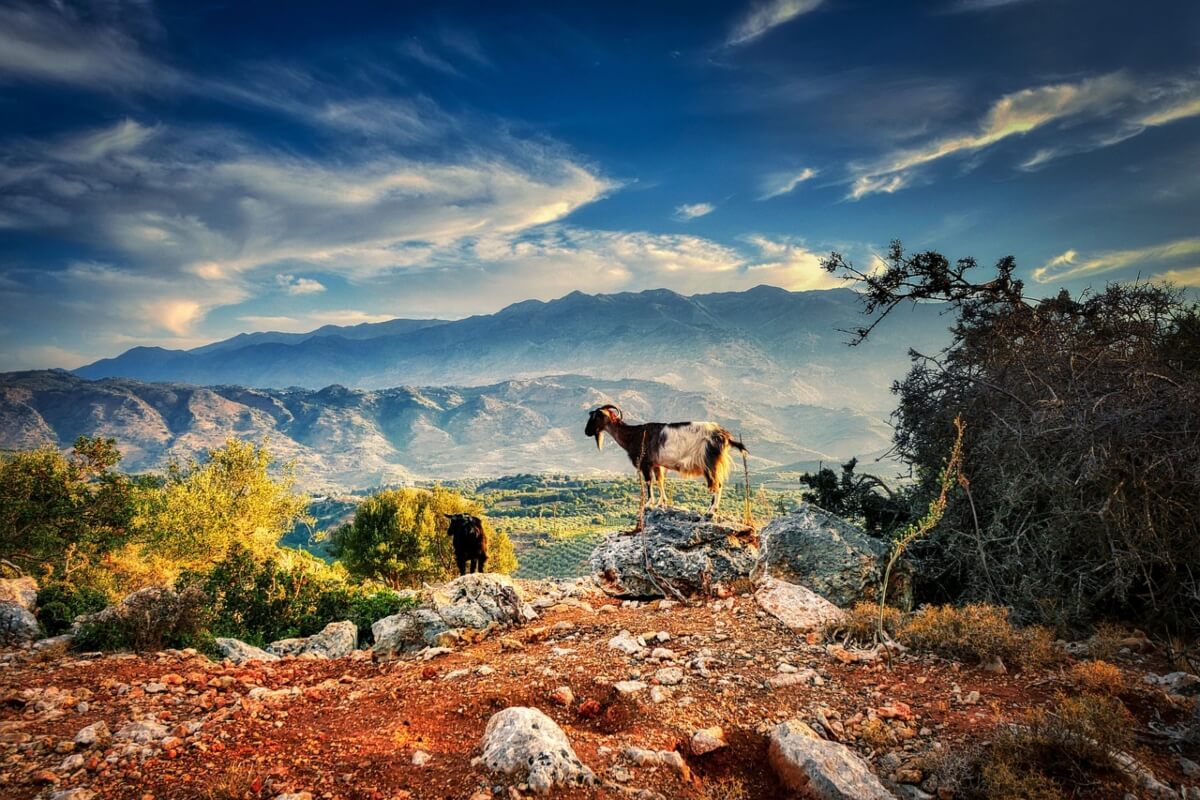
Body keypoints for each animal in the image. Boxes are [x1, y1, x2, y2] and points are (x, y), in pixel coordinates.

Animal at [583, 407, 744, 520]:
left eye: (595, 417)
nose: (586, 432)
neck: (633, 435)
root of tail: (724, 435)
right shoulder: (657, 464)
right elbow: (660, 481)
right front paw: (662, 503)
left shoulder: (645, 463)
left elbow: (649, 482)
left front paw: (648, 505)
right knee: (718, 484)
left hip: (709, 462)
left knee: (716, 485)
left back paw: (710, 512)